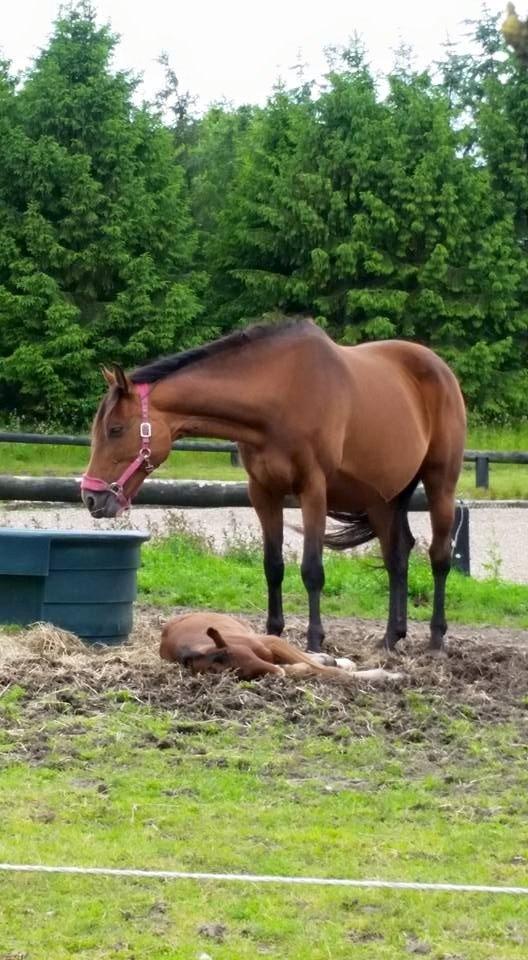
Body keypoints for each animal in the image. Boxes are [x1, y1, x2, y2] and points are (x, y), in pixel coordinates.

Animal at [81, 318, 466, 656]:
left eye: (115, 429)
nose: (91, 497)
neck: (280, 396)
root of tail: (440, 368)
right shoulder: (263, 492)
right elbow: (273, 565)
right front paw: (273, 633)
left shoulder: (313, 490)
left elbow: (312, 570)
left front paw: (314, 640)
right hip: (383, 499)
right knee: (397, 556)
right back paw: (391, 637)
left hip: (440, 485)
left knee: (439, 557)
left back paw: (436, 639)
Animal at [161, 616, 400, 684]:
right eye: (241, 674)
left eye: (243, 657)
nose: (276, 674)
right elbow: (307, 669)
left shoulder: (271, 643)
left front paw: (389, 675)